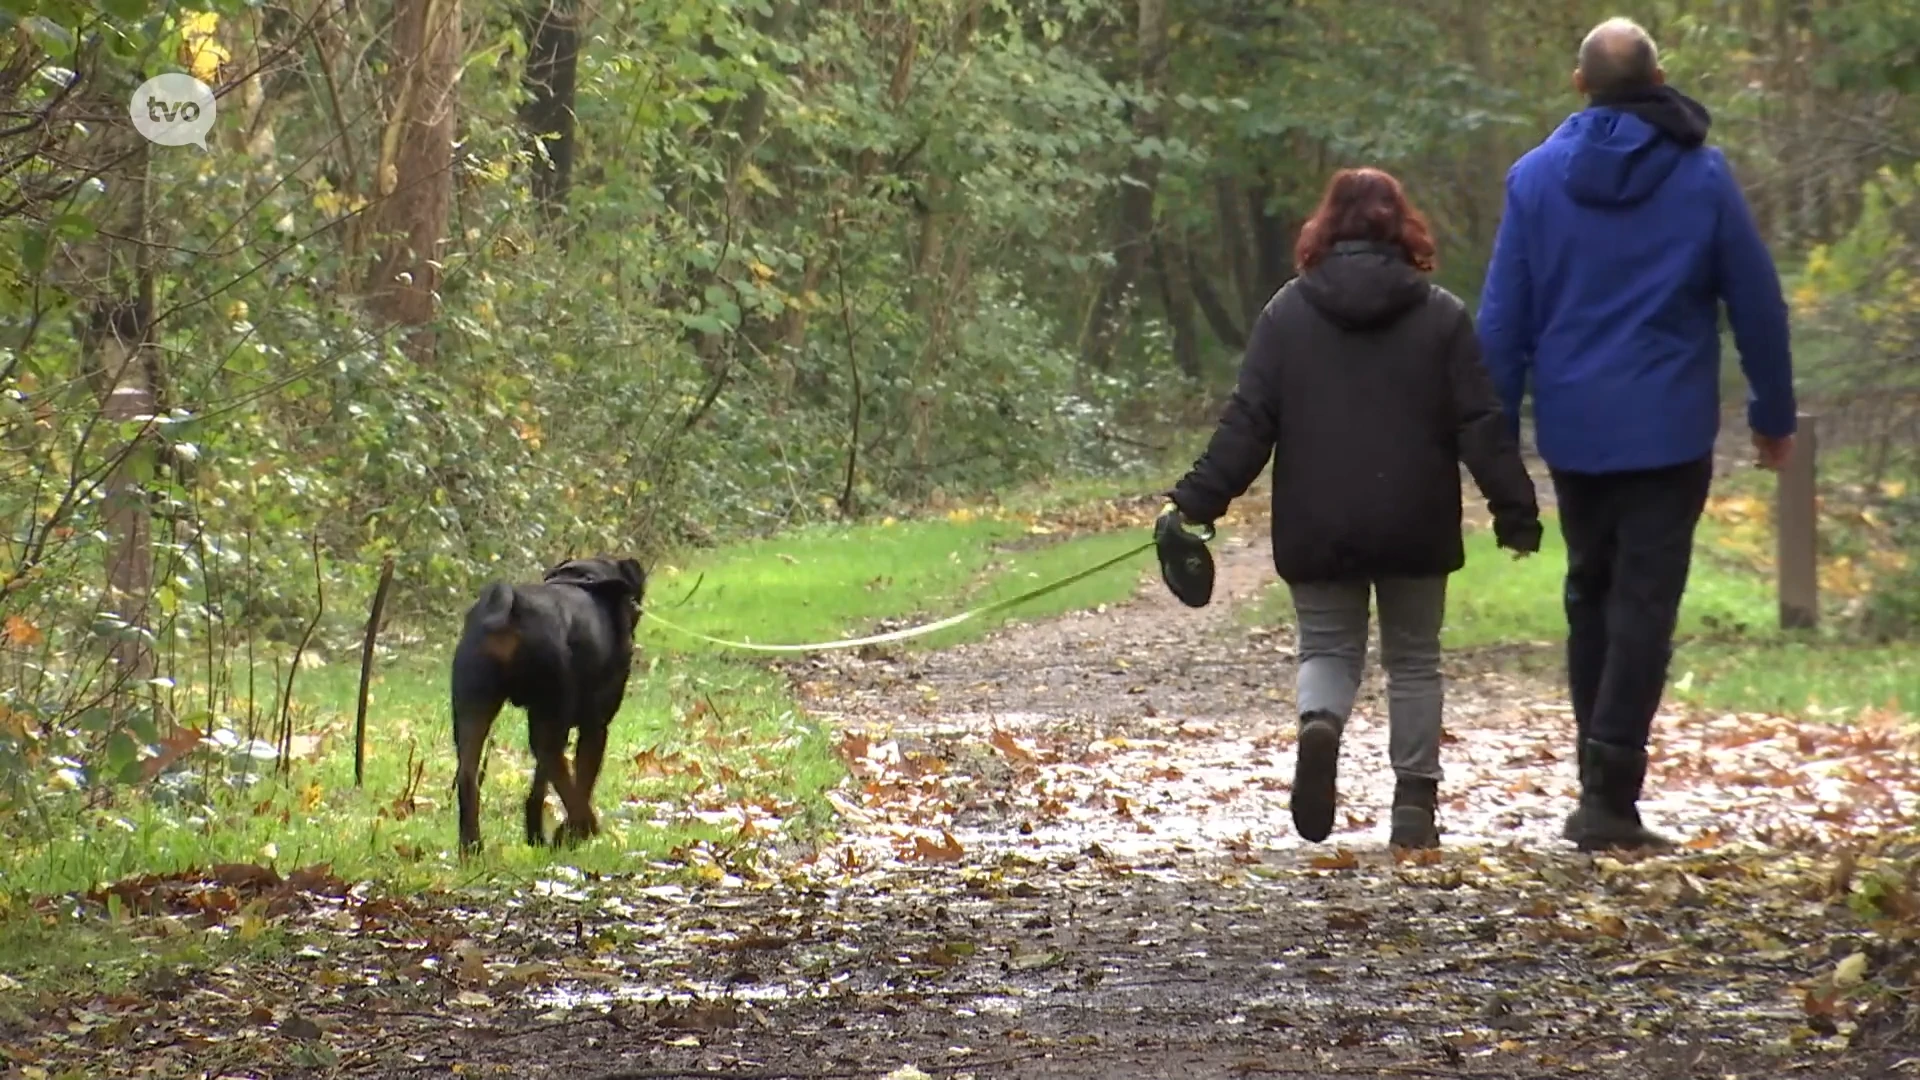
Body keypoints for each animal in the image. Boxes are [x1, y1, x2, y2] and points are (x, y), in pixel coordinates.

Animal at [447, 553, 645, 849]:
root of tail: (510, 603)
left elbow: (539, 787)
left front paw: (535, 834)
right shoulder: (594, 726)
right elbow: (583, 781)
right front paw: (566, 832)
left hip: (473, 709)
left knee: (468, 775)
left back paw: (471, 847)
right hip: (550, 711)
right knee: (557, 766)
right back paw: (582, 828)